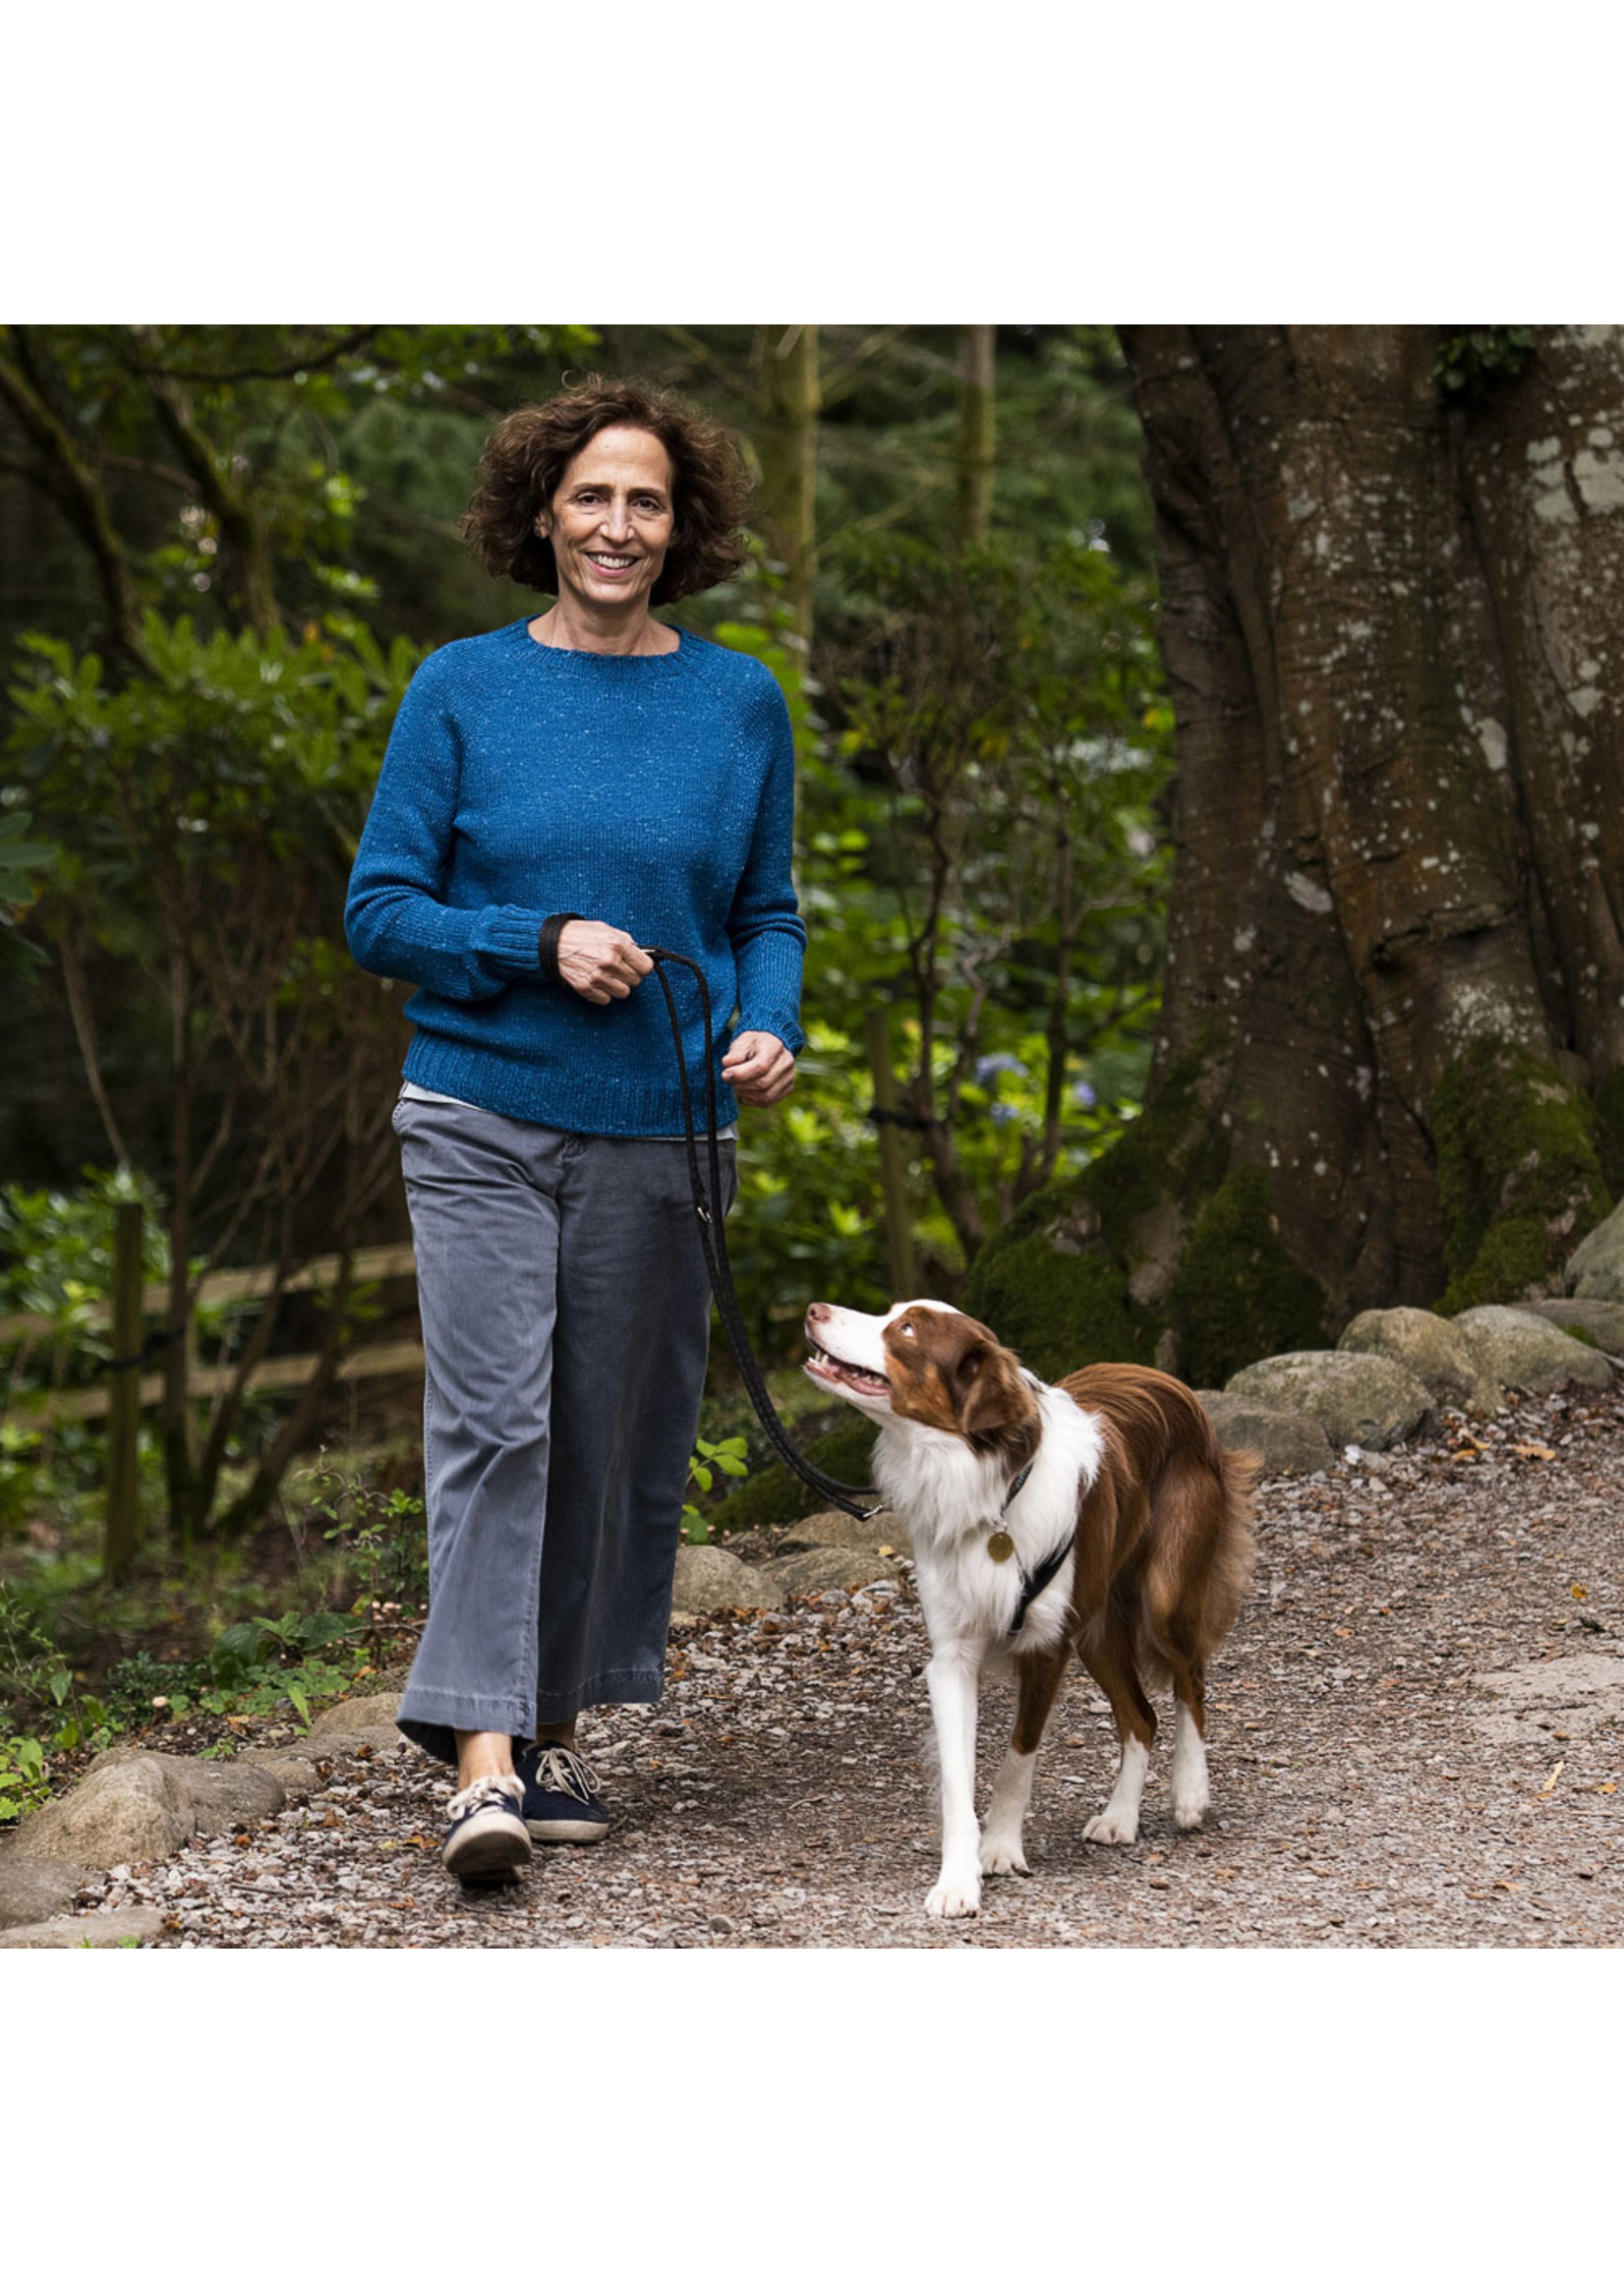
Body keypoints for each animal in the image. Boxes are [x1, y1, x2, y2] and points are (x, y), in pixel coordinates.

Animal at [805, 1301, 1255, 1919]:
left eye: (908, 1329)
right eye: (892, 1312)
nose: (814, 1309)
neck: (986, 1483)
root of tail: (1164, 1378)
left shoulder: (1046, 1645)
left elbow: (1018, 1759)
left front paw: (1000, 1847)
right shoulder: (952, 1657)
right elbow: (958, 1778)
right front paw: (958, 1878)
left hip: (1164, 1594)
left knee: (1191, 1678)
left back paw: (1190, 1790)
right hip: (1094, 1629)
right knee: (1142, 1716)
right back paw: (1120, 1817)